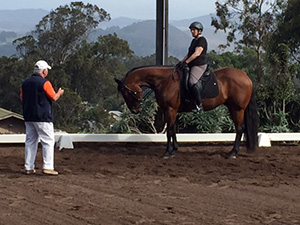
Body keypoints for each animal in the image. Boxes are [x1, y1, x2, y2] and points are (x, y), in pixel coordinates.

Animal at [115, 66, 258, 158]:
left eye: (127, 93)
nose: (135, 110)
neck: (164, 81)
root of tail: (246, 76)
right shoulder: (172, 111)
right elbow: (173, 130)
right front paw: (174, 150)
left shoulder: (170, 109)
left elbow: (169, 131)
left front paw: (167, 153)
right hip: (233, 108)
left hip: (237, 109)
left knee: (240, 129)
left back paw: (233, 153)